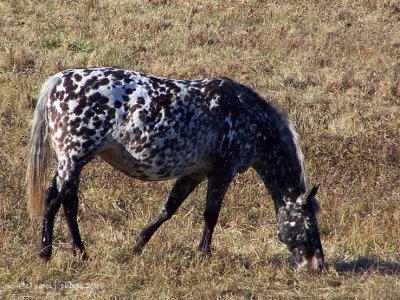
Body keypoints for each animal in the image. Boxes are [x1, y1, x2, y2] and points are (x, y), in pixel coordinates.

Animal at [25, 67, 324, 270]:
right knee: (53, 199)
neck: (247, 114)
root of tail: (58, 81)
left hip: (75, 162)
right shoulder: (223, 172)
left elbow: (169, 209)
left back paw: (81, 252)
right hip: (73, 159)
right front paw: (204, 254)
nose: (317, 265)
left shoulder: (195, 173)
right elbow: (211, 214)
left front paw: (138, 244)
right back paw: (46, 252)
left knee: (68, 203)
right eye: (310, 226)